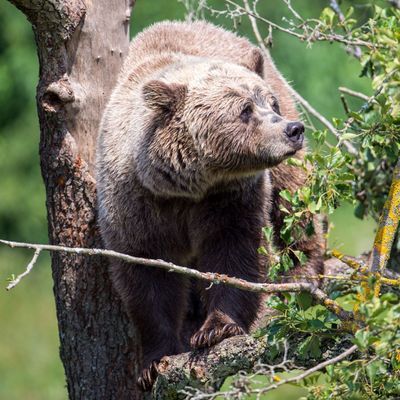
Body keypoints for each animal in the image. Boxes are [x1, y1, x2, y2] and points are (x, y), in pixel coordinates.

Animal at [97, 21, 324, 390]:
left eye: (269, 103)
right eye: (245, 110)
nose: (293, 130)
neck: (188, 185)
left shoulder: (230, 198)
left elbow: (235, 252)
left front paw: (216, 328)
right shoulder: (136, 203)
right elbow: (145, 274)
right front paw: (154, 360)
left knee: (294, 200)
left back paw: (302, 271)